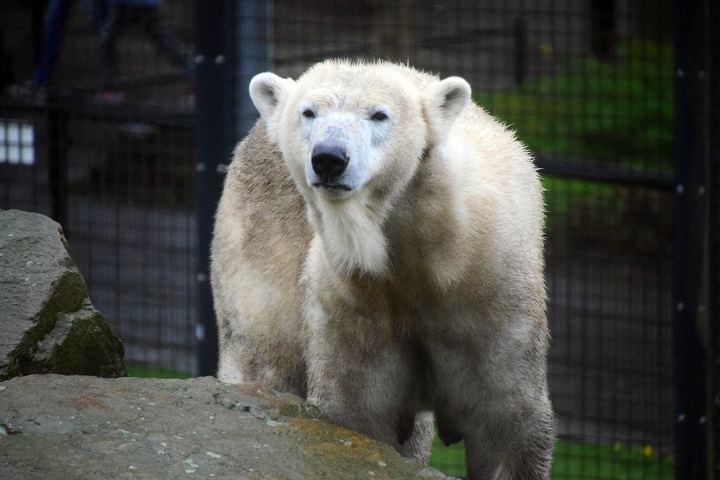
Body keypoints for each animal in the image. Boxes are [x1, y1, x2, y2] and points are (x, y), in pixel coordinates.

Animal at [211, 61, 556, 480]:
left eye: (378, 114)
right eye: (309, 112)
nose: (329, 158)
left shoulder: (493, 293)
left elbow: (508, 420)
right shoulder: (351, 304)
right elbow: (358, 412)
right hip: (255, 244)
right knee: (262, 356)